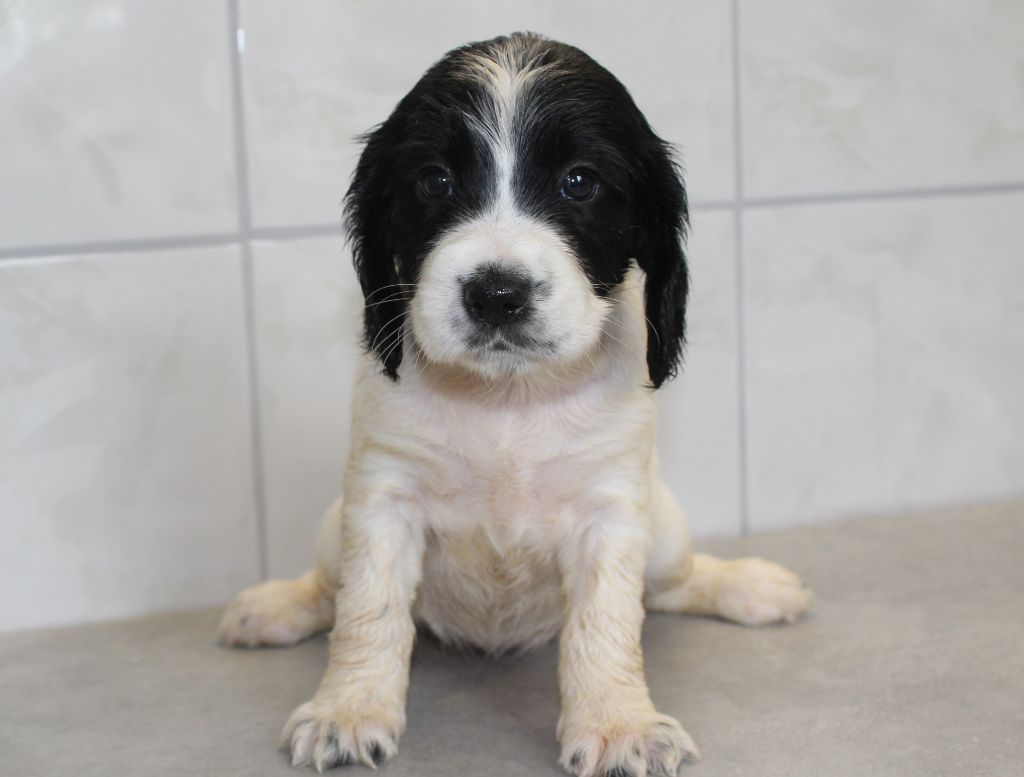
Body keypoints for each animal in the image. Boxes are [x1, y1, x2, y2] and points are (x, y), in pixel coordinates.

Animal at [219, 32, 811, 777]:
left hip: (666, 530)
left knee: (673, 584)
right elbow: (368, 609)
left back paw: (750, 586)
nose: (497, 294)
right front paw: (348, 709)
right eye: (435, 181)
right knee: (330, 586)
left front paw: (617, 723)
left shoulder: (612, 512)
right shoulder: (382, 498)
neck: (506, 400)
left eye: (579, 182)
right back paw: (274, 606)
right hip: (335, 525)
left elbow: (605, 623)